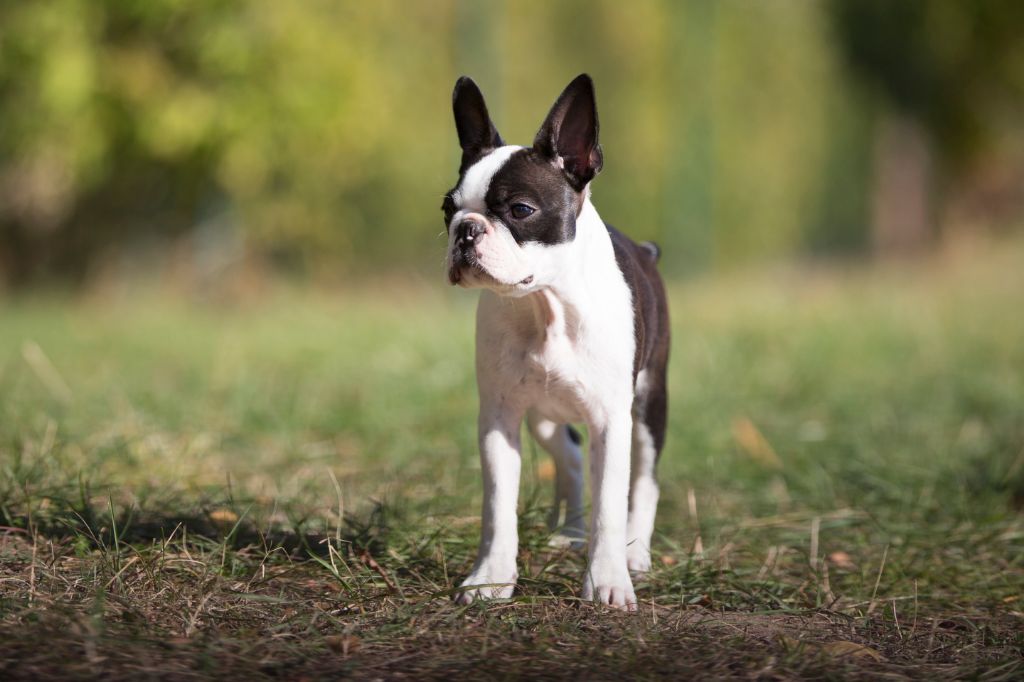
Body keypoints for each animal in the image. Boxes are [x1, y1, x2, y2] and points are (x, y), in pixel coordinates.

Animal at [442, 74, 669, 610]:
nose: (465, 231)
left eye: (520, 210)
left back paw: (635, 553)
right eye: (446, 210)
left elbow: (612, 504)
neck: (544, 306)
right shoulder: (498, 417)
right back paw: (570, 532)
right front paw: (490, 578)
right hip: (543, 414)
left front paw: (608, 583)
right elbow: (497, 506)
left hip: (649, 404)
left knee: (645, 481)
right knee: (569, 459)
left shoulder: (611, 420)